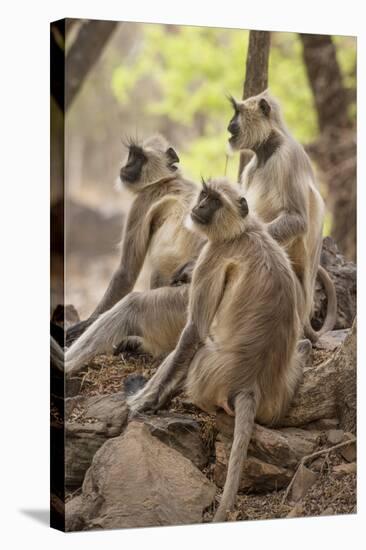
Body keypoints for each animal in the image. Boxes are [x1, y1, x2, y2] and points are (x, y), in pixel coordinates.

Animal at [64, 136, 204, 378]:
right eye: (131, 155)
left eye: (139, 158)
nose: (126, 166)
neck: (168, 180)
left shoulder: (142, 201)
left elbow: (126, 273)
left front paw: (84, 324)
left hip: (184, 305)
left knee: (132, 305)